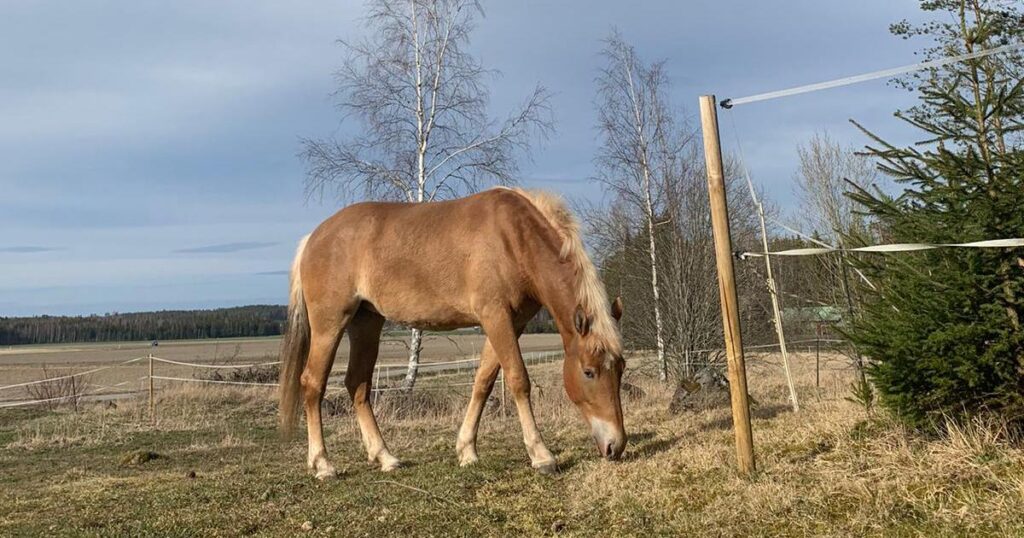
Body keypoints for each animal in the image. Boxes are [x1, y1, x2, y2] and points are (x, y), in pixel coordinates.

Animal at [278, 185, 622, 477]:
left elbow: (484, 382)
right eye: (589, 372)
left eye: (620, 368)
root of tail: (313, 238)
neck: (513, 239)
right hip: (330, 325)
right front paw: (541, 455)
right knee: (313, 383)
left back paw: (385, 457)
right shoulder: (495, 316)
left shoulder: (510, 322)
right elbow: (517, 379)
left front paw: (466, 450)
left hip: (367, 323)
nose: (616, 446)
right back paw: (322, 464)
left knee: (357, 385)